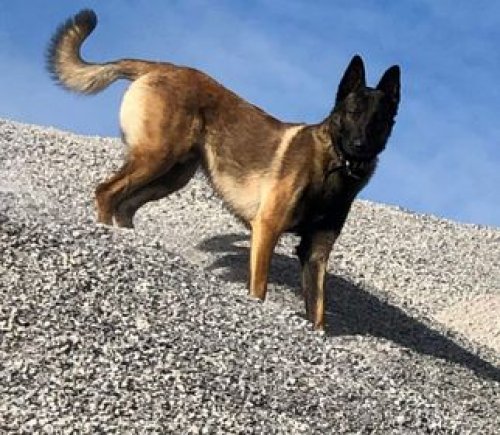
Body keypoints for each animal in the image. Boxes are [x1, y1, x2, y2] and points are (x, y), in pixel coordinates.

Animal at [47, 9, 400, 330]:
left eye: (378, 120)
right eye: (352, 112)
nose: (359, 145)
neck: (333, 169)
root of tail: (160, 66)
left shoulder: (316, 252)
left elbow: (318, 313)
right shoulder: (267, 228)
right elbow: (259, 289)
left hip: (171, 175)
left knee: (126, 205)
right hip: (156, 159)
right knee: (106, 193)